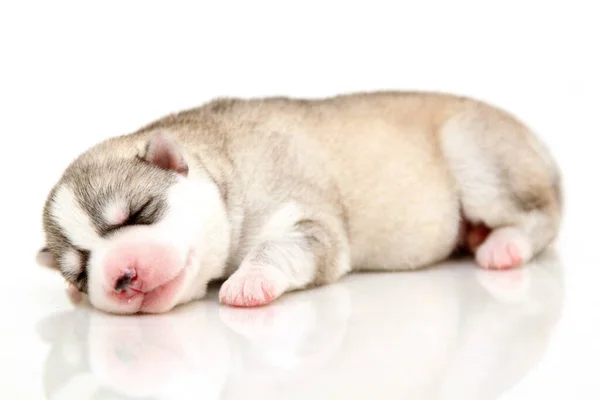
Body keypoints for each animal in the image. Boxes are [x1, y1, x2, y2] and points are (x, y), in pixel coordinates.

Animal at [36, 92, 564, 314]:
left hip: (478, 154)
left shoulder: (308, 218)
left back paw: (504, 245)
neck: (221, 163)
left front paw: (248, 280)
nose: (120, 277)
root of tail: (536, 140)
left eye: (139, 213)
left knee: (543, 214)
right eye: (80, 274)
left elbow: (281, 246)